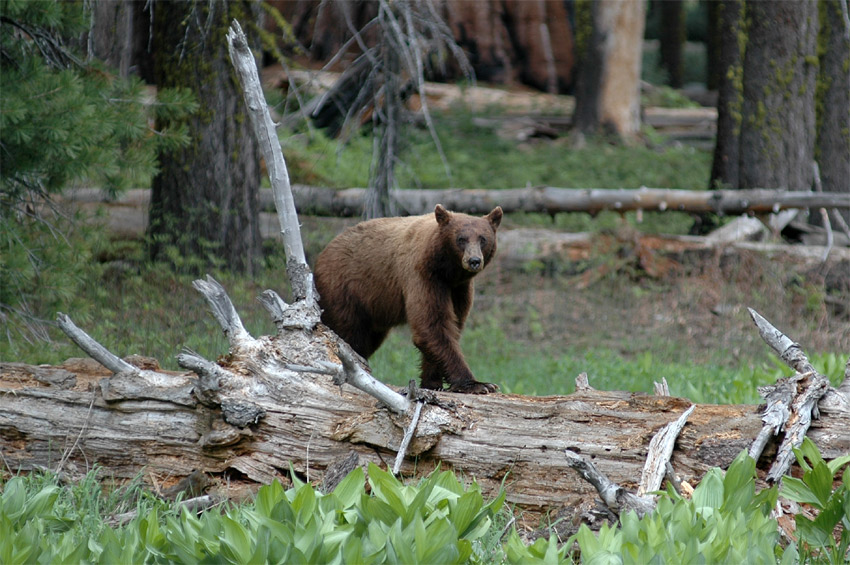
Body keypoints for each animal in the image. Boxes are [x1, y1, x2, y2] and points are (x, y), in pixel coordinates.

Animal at [314, 205, 500, 394]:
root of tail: (322, 254)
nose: (474, 260)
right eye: (461, 239)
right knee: (347, 333)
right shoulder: (422, 276)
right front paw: (478, 384)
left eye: (483, 239)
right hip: (344, 291)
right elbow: (431, 325)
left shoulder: (459, 289)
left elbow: (451, 325)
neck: (447, 270)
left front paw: (432, 382)